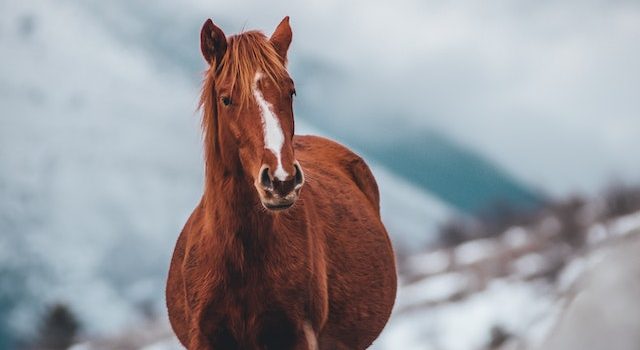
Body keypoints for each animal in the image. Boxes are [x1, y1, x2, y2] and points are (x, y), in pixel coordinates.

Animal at [165, 17, 396, 350]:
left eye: (291, 92)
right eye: (226, 98)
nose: (281, 181)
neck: (241, 256)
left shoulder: (297, 335)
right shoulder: (204, 338)